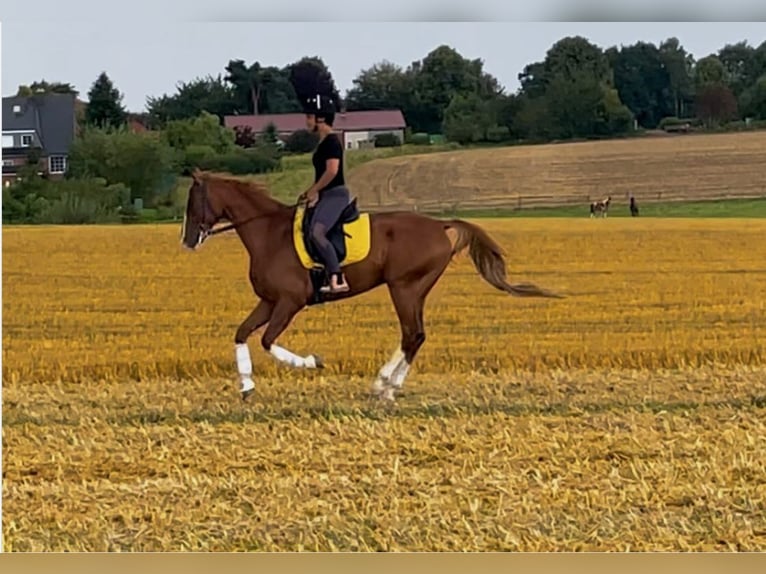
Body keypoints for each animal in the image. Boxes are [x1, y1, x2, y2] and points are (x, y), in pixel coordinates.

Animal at [180, 169, 564, 402]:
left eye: (193, 201)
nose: (187, 240)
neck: (268, 235)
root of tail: (440, 226)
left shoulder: (290, 302)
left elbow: (267, 340)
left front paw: (313, 362)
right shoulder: (269, 302)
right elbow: (242, 334)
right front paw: (246, 385)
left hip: (404, 287)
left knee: (412, 334)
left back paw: (384, 386)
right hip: (412, 290)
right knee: (414, 336)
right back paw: (387, 386)